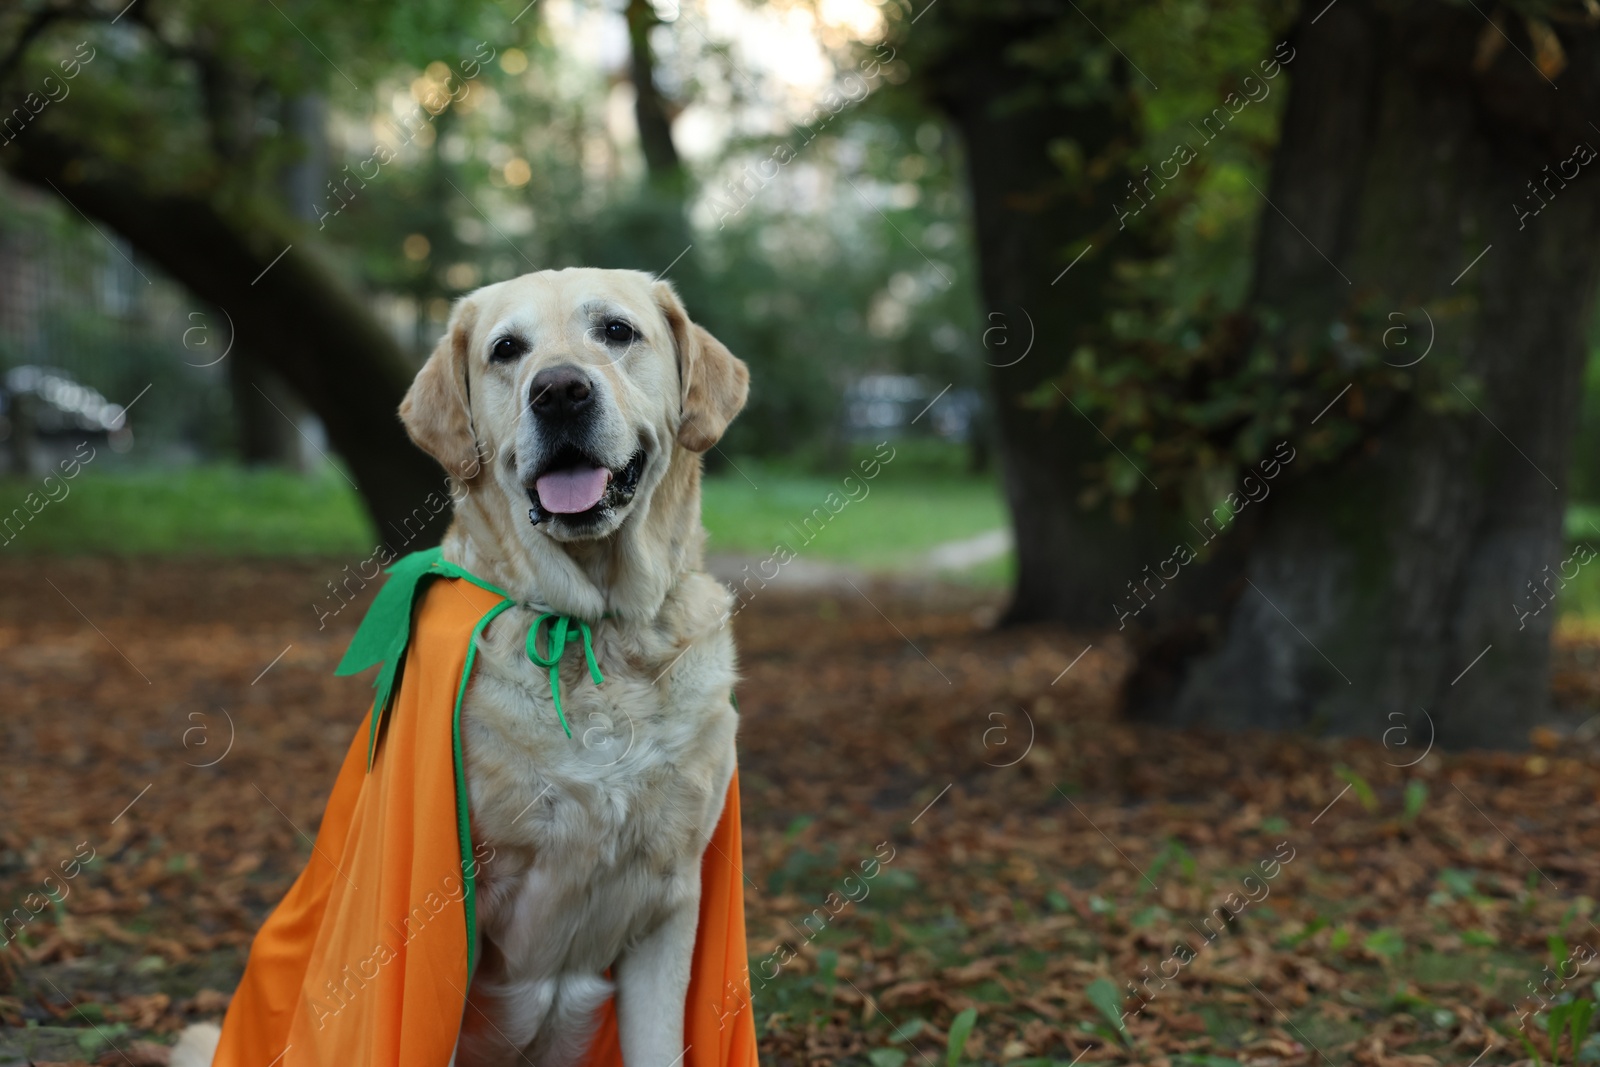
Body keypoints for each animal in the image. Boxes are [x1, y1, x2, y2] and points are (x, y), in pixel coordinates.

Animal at [172, 268, 745, 1067]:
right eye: (507, 349)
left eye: (617, 331)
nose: (559, 391)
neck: (593, 630)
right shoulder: (457, 907)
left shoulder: (670, 897)